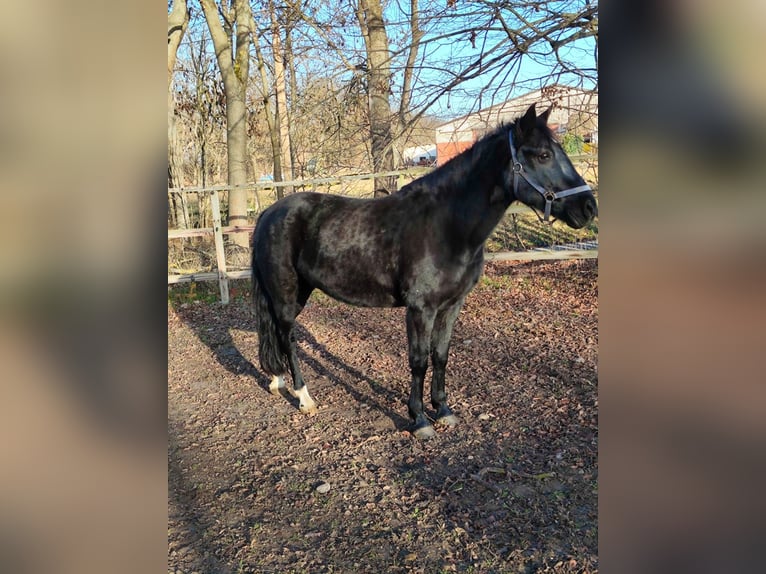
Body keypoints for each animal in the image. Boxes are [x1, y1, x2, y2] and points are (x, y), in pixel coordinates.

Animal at [250, 103, 597, 439]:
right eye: (543, 155)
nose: (588, 207)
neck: (446, 226)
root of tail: (270, 212)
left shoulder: (451, 306)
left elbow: (440, 355)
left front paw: (442, 410)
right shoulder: (420, 309)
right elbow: (418, 360)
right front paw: (419, 419)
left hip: (300, 292)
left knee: (277, 334)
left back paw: (277, 381)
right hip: (285, 294)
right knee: (288, 337)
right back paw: (304, 397)